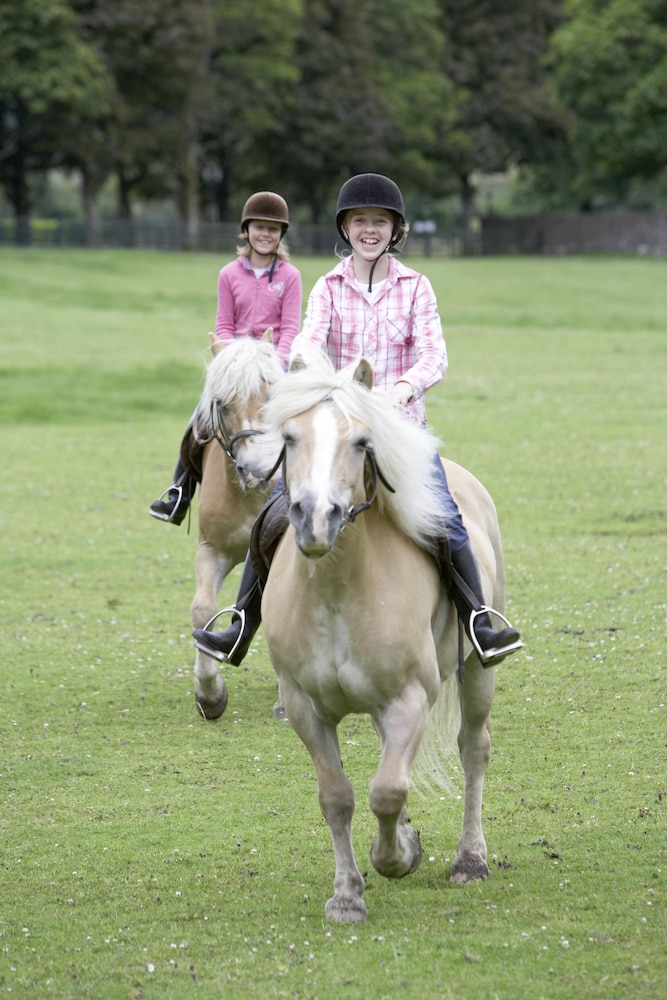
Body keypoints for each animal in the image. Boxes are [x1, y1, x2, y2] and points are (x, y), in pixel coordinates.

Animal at [262, 358, 512, 920]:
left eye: (360, 441)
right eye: (289, 436)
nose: (316, 519)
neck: (339, 591)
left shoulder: (409, 699)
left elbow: (388, 790)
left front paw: (395, 858)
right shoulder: (306, 707)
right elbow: (338, 796)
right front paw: (347, 895)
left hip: (476, 674)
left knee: (473, 750)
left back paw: (470, 859)